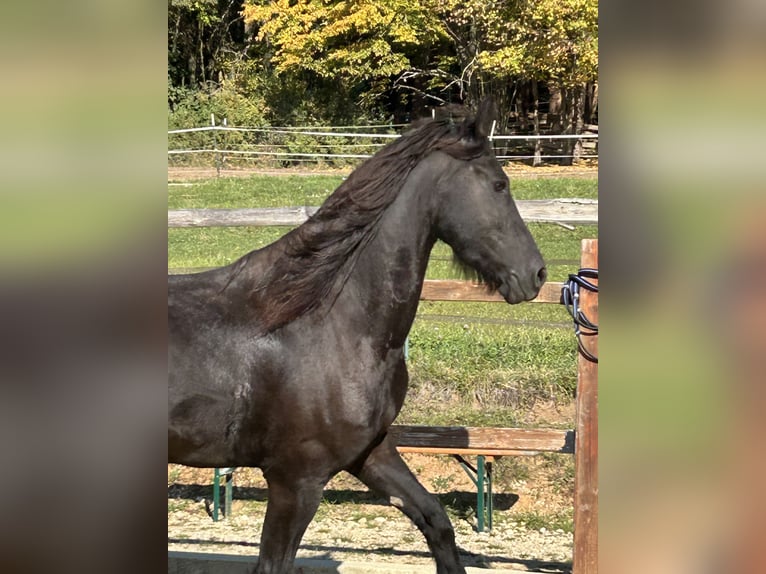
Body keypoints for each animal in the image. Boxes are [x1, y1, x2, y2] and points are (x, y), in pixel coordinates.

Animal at [168, 100, 547, 574]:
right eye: (499, 184)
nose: (535, 274)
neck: (332, 326)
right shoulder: (296, 480)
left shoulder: (372, 451)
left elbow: (436, 520)